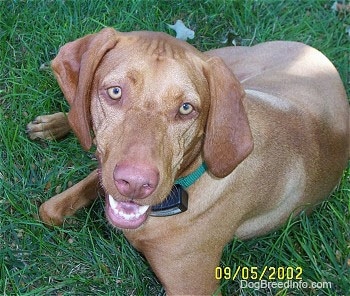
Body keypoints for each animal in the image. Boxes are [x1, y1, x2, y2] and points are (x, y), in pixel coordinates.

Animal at [26, 27, 348, 294]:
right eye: (115, 91)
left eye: (186, 108)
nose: (135, 184)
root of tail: (312, 49)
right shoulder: (105, 172)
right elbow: (49, 210)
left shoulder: (193, 288)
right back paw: (55, 123)